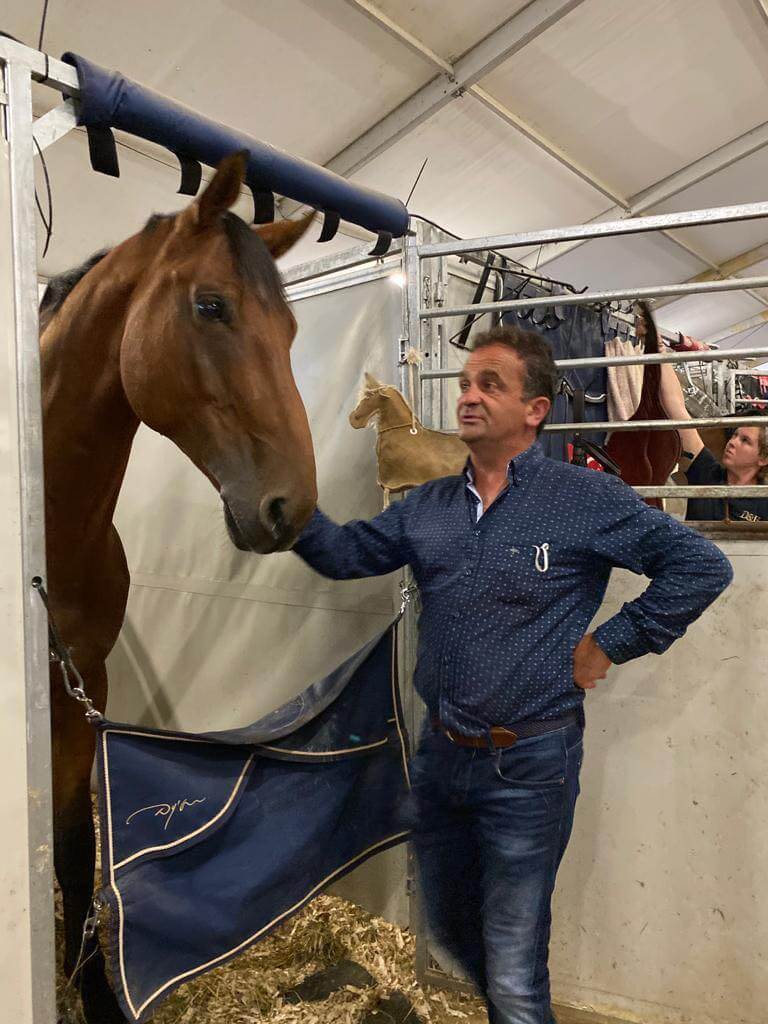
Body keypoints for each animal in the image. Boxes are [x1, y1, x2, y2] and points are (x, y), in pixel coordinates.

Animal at [40, 153, 317, 1024]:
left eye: (291, 331)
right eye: (210, 305)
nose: (292, 507)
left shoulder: (79, 693)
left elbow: (75, 847)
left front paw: (93, 988)